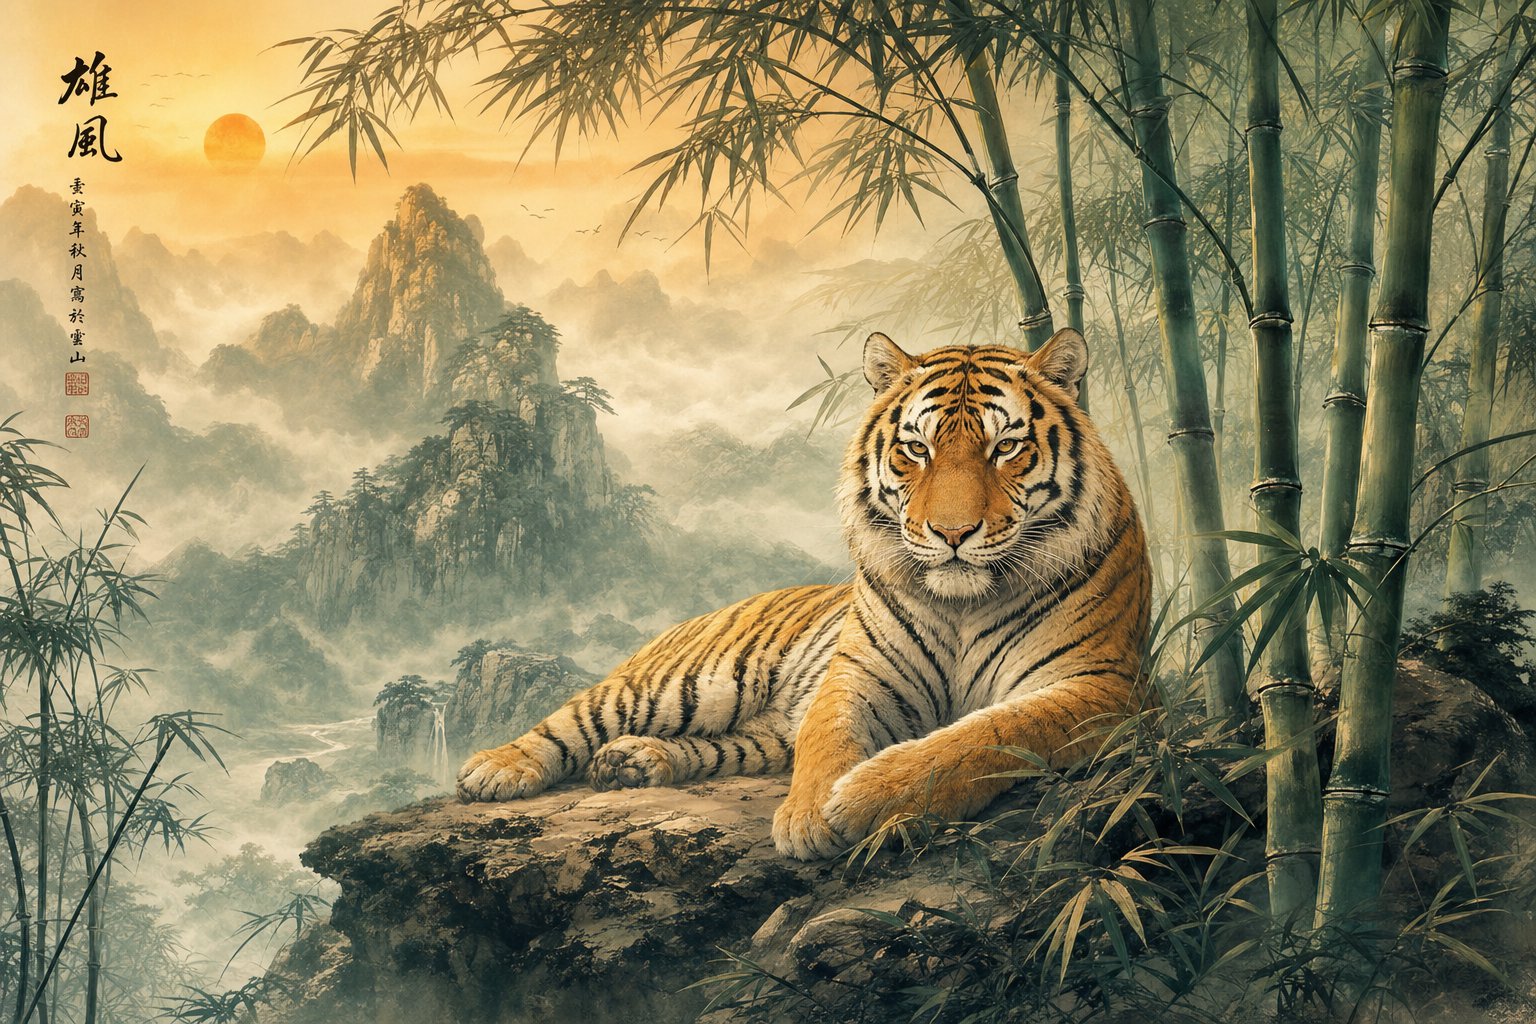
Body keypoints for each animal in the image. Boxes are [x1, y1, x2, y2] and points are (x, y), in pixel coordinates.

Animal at [456, 328, 1152, 860]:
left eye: (1005, 446)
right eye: (916, 449)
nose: (951, 533)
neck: (962, 602)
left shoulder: (1097, 685)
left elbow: (981, 736)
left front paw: (863, 797)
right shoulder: (859, 671)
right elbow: (828, 737)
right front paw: (811, 815)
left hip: (750, 733)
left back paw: (633, 762)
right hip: (686, 683)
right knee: (572, 718)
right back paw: (498, 767)